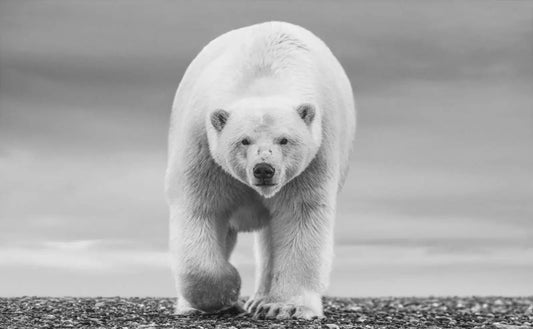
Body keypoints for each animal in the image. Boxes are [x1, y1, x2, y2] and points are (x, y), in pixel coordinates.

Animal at [166, 21, 356, 318]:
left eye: (284, 139)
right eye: (244, 140)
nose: (264, 169)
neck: (265, 73)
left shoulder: (317, 154)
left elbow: (301, 216)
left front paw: (285, 306)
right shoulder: (201, 148)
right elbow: (200, 209)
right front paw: (228, 290)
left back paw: (261, 300)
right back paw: (190, 307)